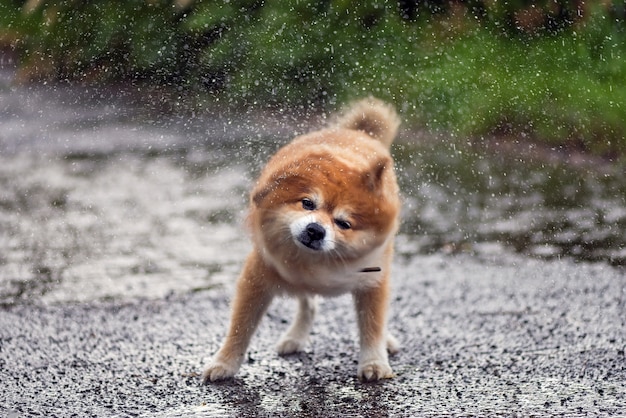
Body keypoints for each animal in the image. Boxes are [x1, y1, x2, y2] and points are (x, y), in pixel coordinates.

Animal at [202, 97, 402, 382]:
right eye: (307, 203)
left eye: (344, 223)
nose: (316, 230)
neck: (316, 263)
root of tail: (358, 133)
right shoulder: (257, 279)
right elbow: (240, 328)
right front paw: (225, 363)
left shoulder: (372, 282)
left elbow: (372, 325)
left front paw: (374, 362)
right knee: (309, 305)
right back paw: (295, 338)